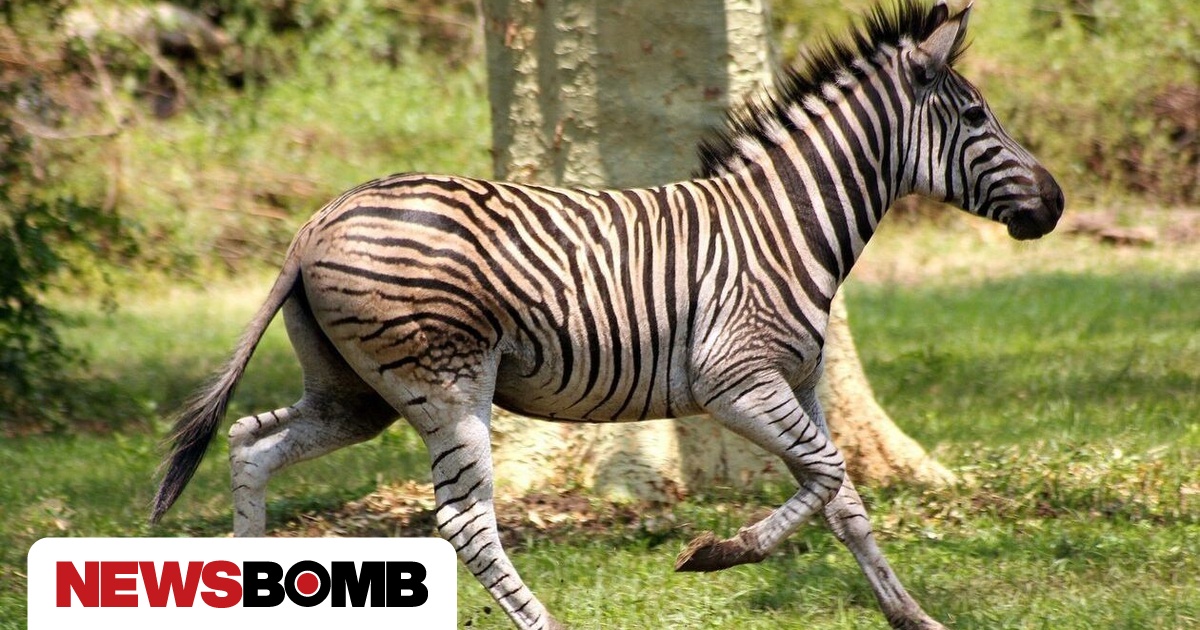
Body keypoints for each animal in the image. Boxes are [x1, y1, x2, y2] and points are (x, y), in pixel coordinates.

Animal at [151, 1, 1064, 628]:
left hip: (356, 393)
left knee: (251, 443)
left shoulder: (799, 383)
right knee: (462, 516)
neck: (783, 223)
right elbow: (830, 475)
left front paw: (913, 616)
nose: (1054, 204)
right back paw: (545, 623)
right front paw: (717, 555)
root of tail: (314, 223)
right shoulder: (735, 382)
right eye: (976, 117)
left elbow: (844, 499)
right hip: (445, 384)